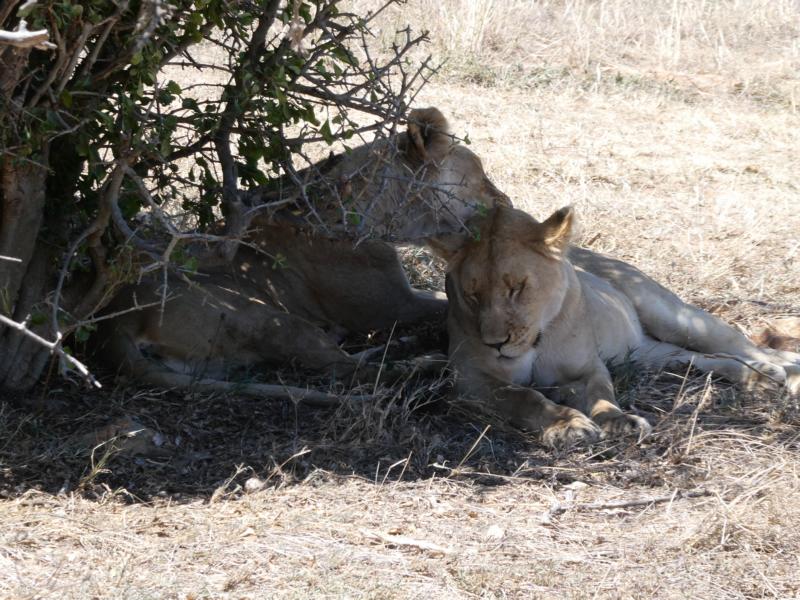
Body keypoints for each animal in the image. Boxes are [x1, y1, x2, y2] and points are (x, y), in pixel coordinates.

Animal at [96, 108, 510, 398]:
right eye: (481, 175)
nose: (505, 200)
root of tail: (114, 320)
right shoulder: (394, 305)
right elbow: (442, 303)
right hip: (268, 317)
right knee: (346, 369)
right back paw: (425, 362)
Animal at [432, 205, 800, 446]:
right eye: (472, 294)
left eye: (517, 287)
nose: (496, 343)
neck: (535, 341)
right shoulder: (470, 380)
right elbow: (524, 396)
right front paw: (568, 426)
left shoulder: (587, 367)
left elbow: (601, 395)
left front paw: (618, 422)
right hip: (642, 352)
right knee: (696, 357)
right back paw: (760, 378)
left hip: (672, 315)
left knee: (740, 345)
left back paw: (777, 373)